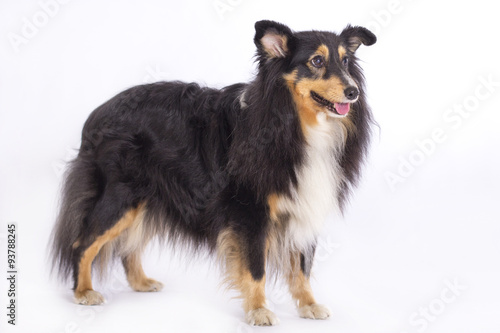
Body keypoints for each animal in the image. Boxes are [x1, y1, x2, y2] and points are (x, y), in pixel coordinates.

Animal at [51, 20, 376, 324]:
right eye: (317, 61)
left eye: (346, 61)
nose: (354, 92)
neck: (295, 122)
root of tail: (97, 115)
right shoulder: (249, 210)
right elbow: (255, 267)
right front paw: (258, 311)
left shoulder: (304, 202)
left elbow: (302, 265)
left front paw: (309, 305)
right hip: (121, 194)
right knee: (83, 242)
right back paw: (84, 292)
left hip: (150, 196)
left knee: (127, 244)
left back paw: (141, 282)